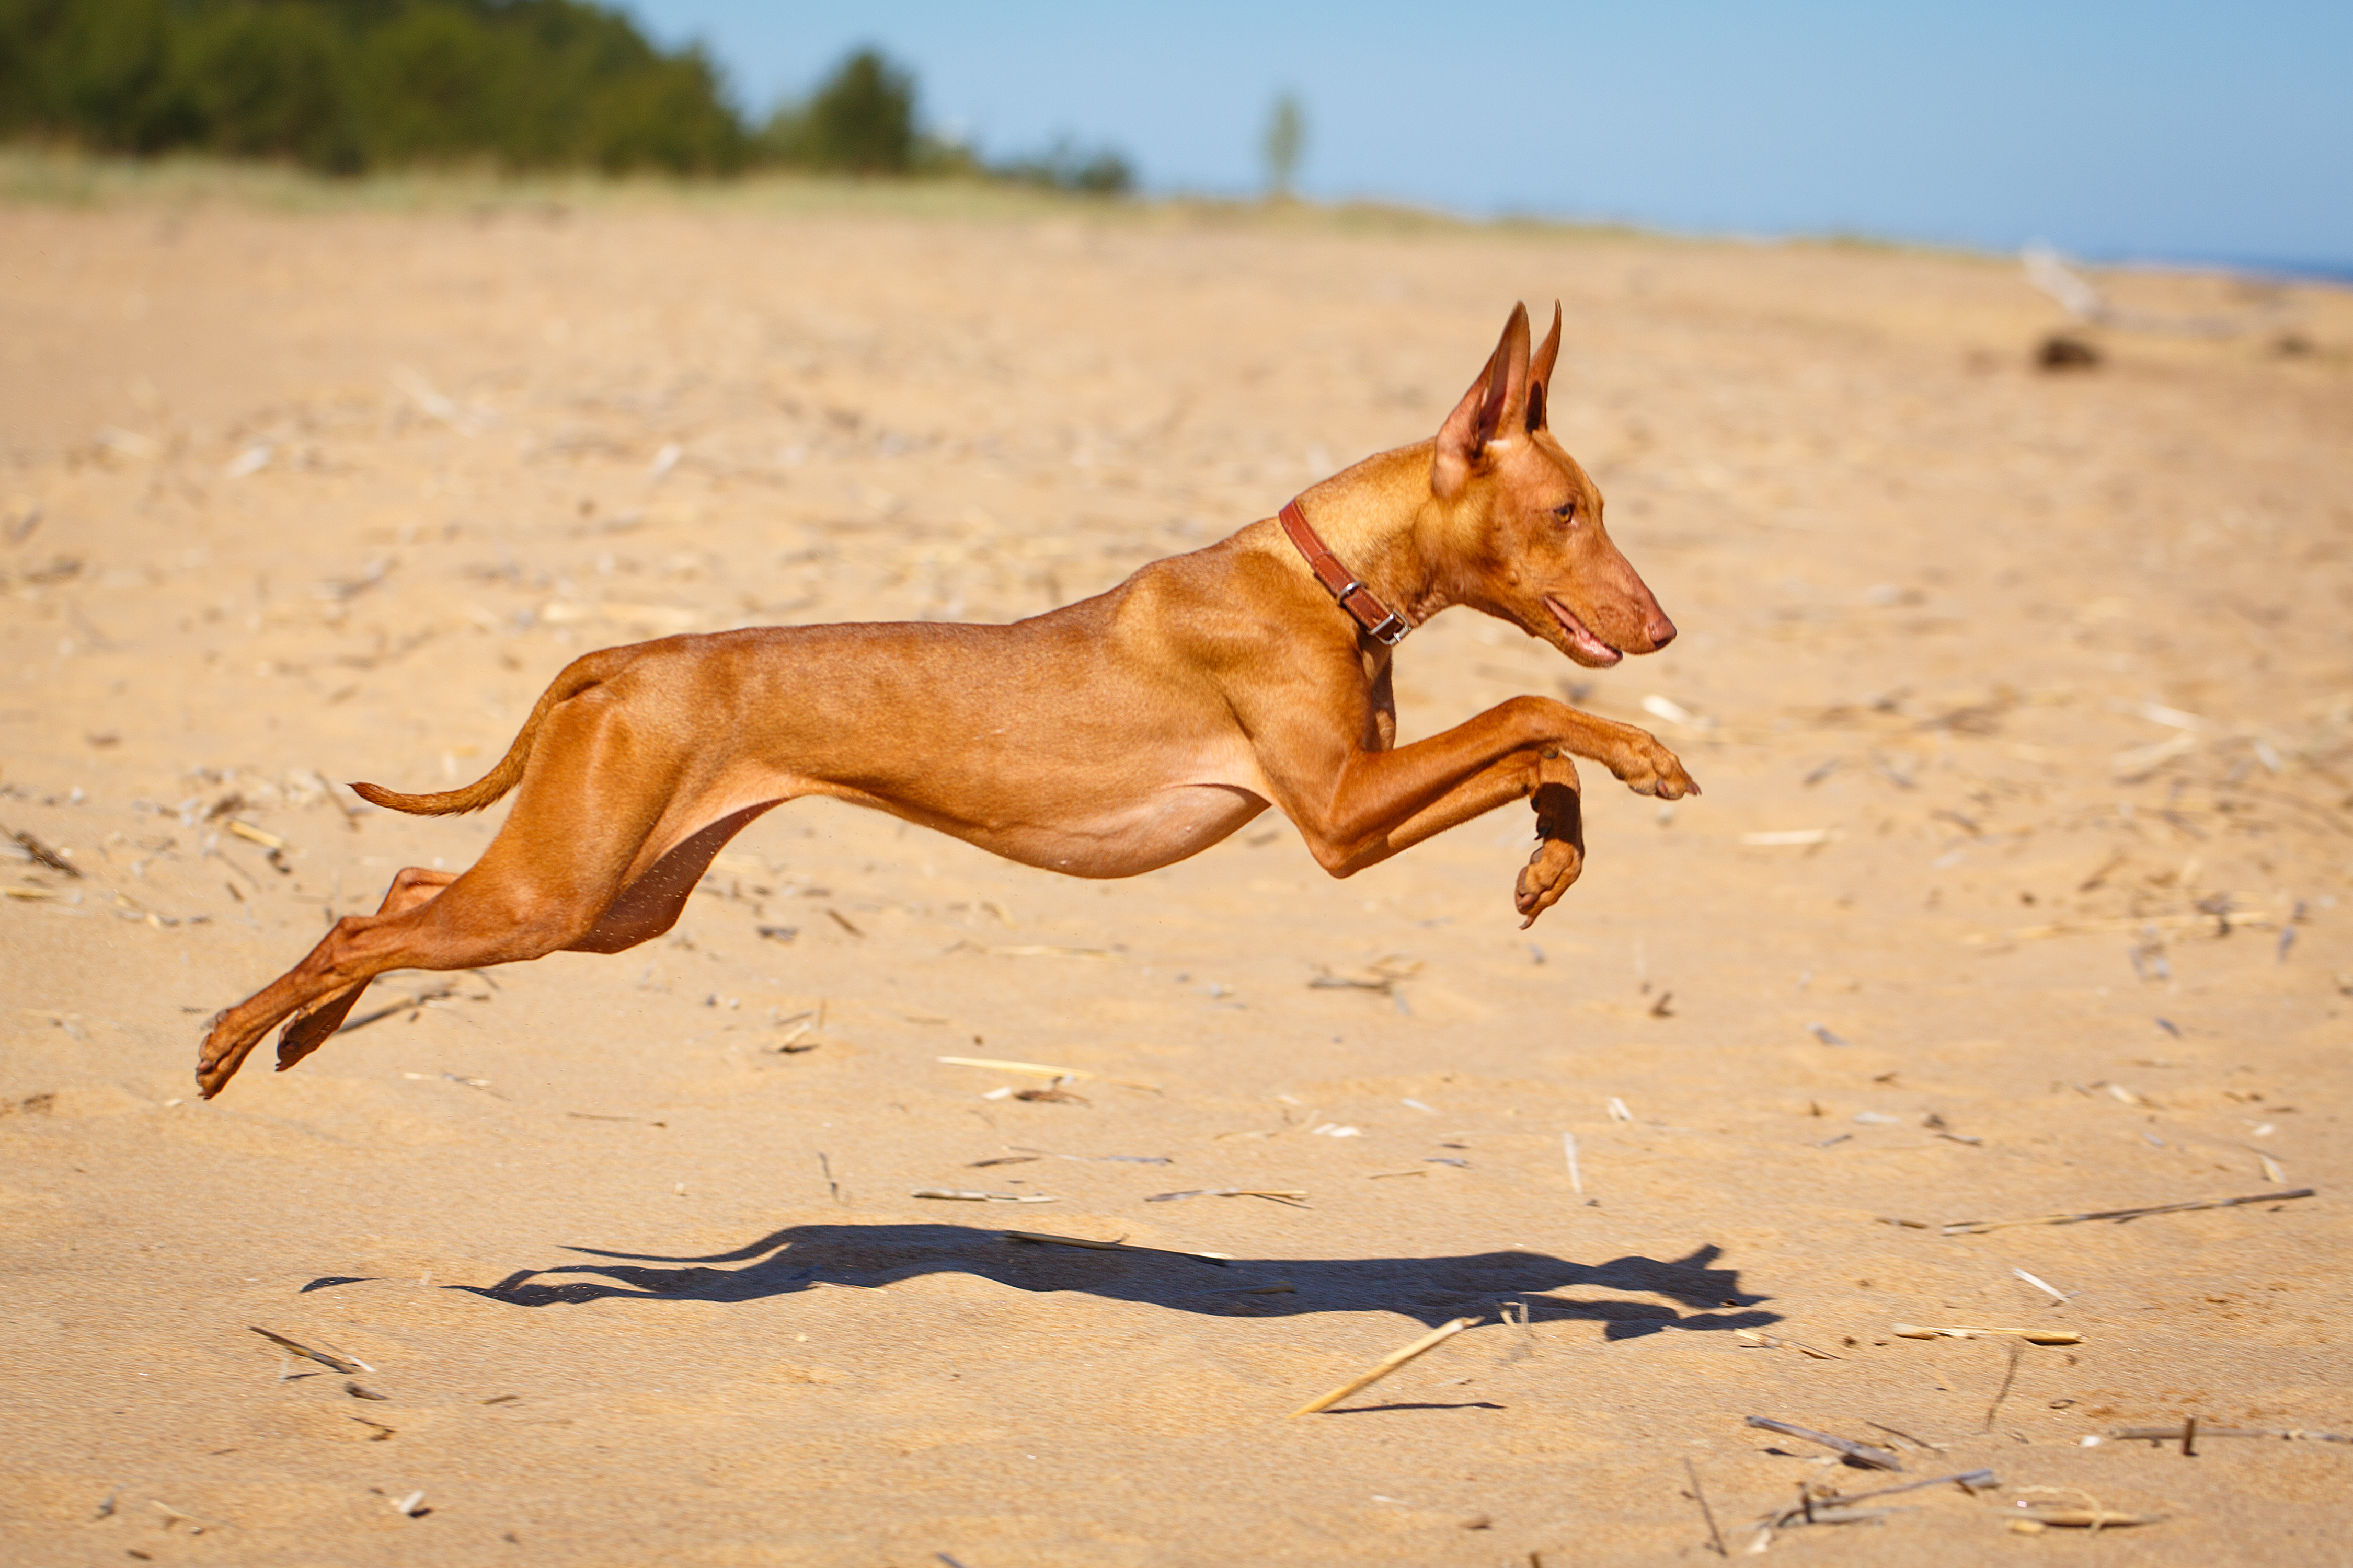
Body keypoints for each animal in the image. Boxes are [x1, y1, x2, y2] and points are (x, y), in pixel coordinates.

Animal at [198, 301, 1694, 1100]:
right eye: (1569, 512)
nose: (1664, 626)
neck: (1325, 575)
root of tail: (624, 655)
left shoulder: (1354, 817)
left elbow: (1529, 748)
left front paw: (1555, 856)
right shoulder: (1334, 816)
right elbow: (1529, 710)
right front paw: (1641, 757)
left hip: (616, 900)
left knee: (398, 890)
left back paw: (300, 1031)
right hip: (560, 892)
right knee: (366, 920)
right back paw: (230, 1040)